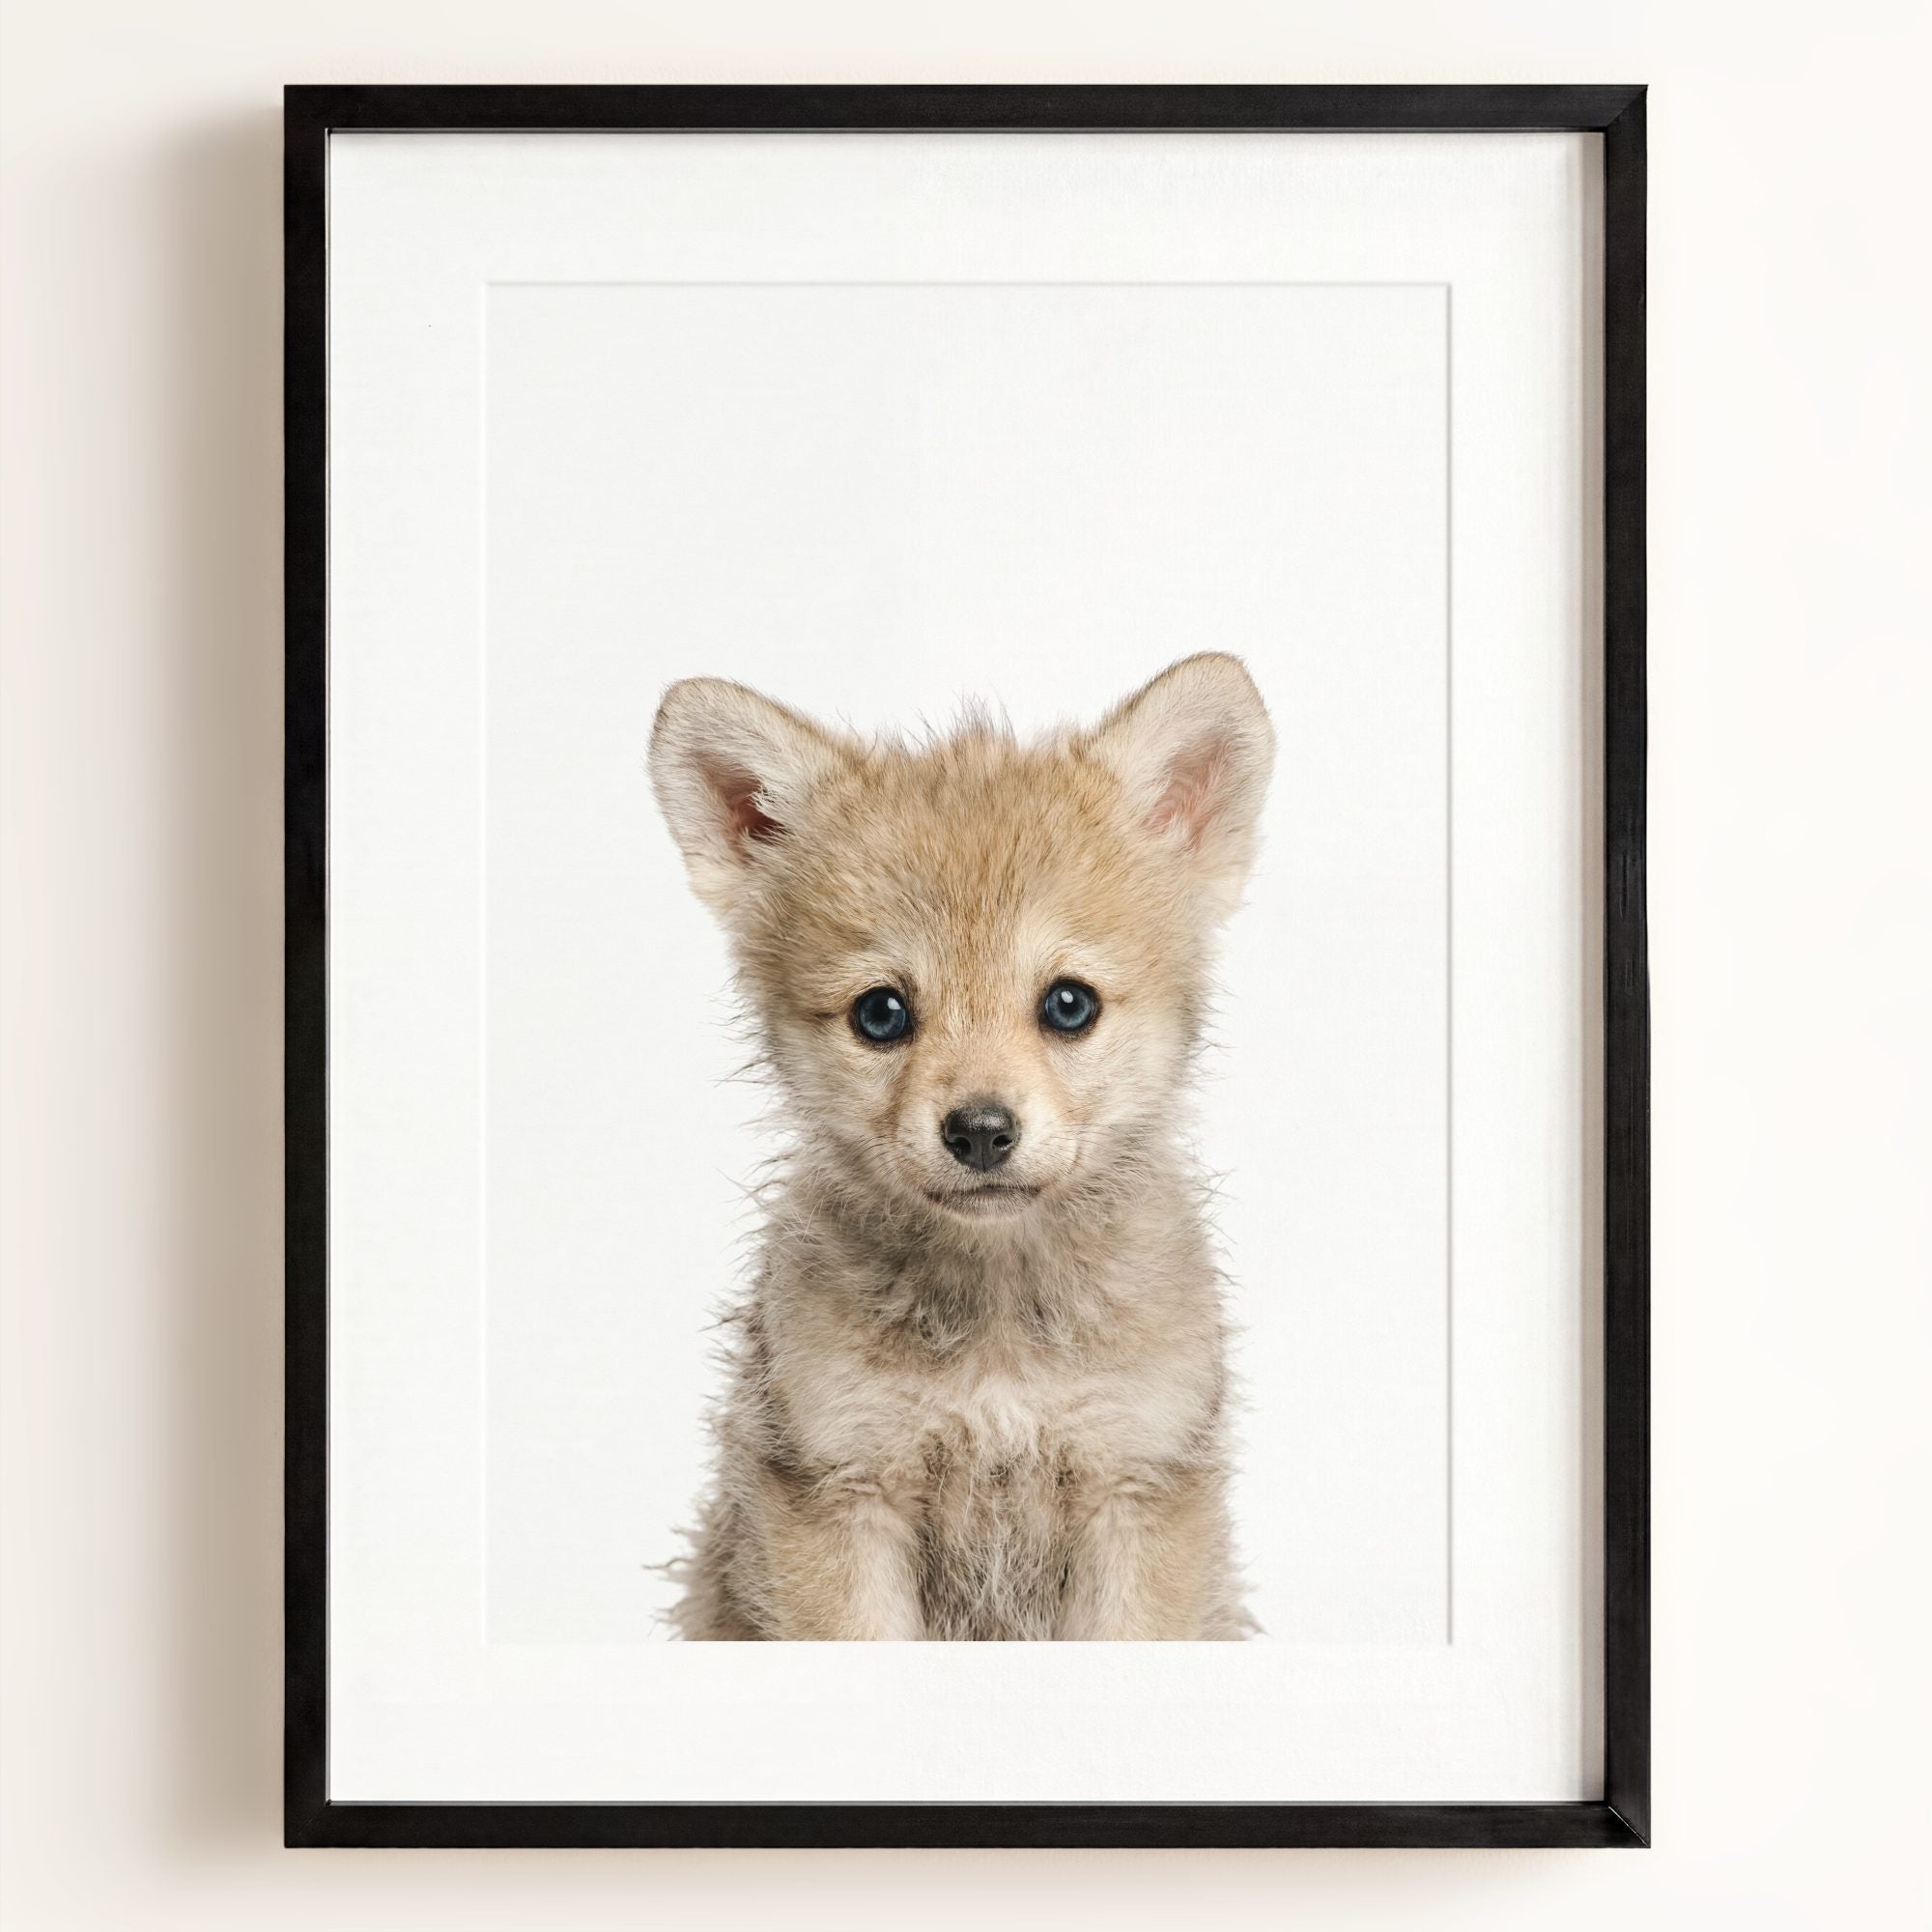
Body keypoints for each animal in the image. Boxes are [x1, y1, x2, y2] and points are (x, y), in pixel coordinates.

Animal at [647, 653, 1273, 1639]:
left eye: (1069, 1004)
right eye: (881, 1013)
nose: (980, 1131)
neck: (998, 1333)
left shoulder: (1136, 1487)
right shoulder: (839, 1490)